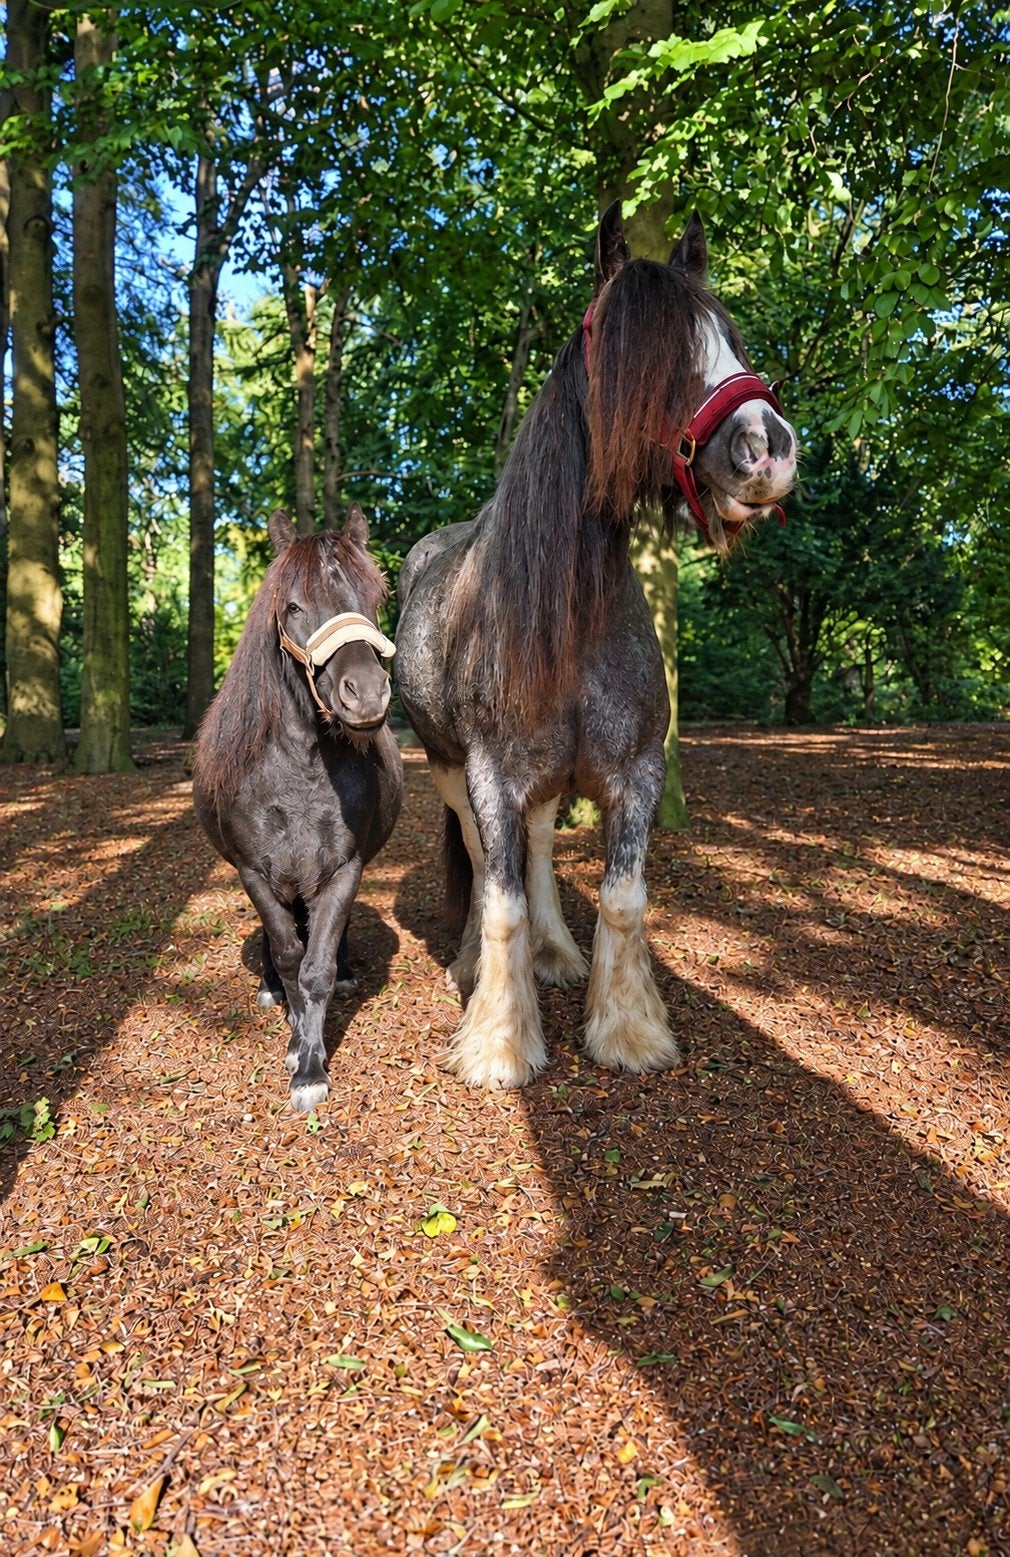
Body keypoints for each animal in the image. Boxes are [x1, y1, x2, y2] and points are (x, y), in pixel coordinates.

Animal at [192, 504, 404, 1112]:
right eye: (292, 606)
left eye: (374, 596)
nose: (367, 693)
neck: (300, 771)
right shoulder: (255, 872)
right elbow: (289, 956)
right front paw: (294, 1041)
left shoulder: (343, 871)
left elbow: (317, 967)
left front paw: (310, 1066)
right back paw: (270, 991)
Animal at [394, 202, 796, 1089]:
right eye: (635, 349)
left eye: (729, 336)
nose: (767, 447)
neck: (572, 621)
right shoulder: (489, 773)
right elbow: (499, 896)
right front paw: (498, 1042)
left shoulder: (636, 771)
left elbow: (620, 896)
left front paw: (628, 1028)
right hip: (448, 768)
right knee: (479, 858)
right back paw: (476, 966)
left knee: (541, 844)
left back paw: (555, 954)